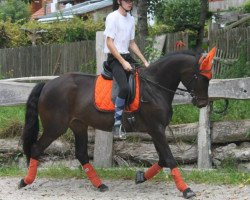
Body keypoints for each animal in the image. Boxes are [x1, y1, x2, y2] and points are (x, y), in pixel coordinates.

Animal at [18, 48, 216, 198]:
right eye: (201, 77)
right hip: (55, 127)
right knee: (36, 148)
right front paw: (186, 190)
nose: (202, 103)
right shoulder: (156, 129)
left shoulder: (155, 131)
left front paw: (140, 177)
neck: (154, 86)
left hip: (78, 125)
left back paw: (100, 185)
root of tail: (47, 85)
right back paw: (25, 181)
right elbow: (169, 159)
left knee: (81, 154)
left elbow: (162, 159)